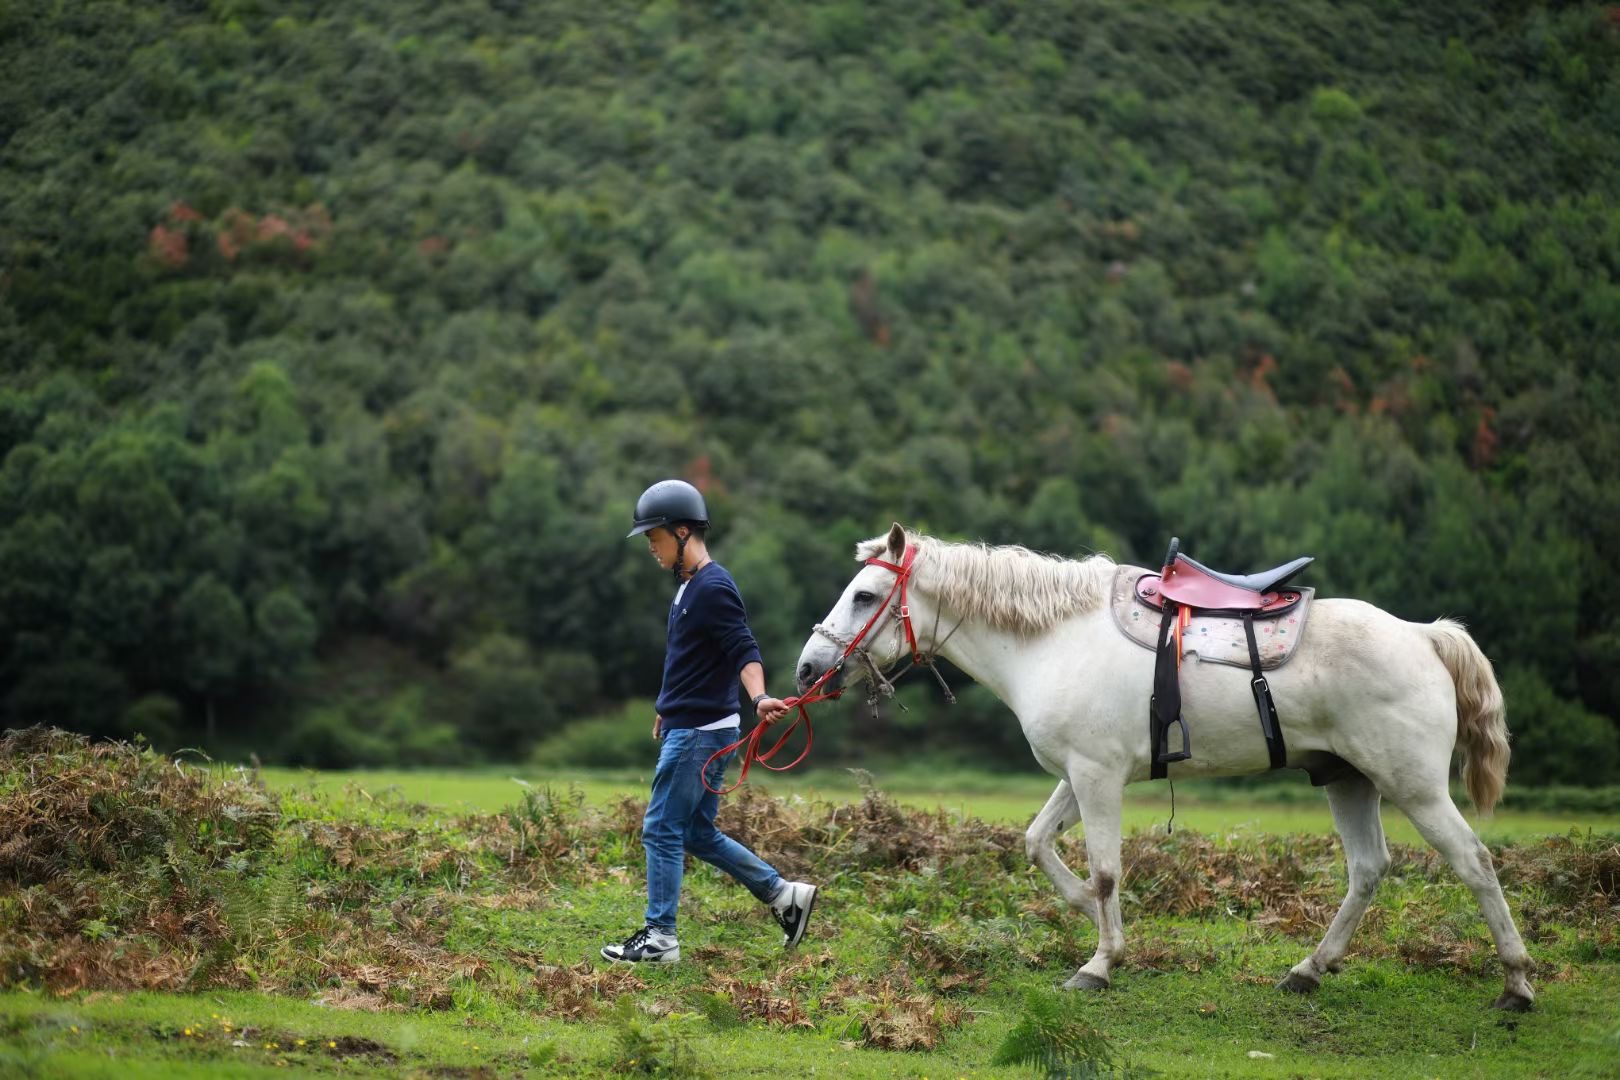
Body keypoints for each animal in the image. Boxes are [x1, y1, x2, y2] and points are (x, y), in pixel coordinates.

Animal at [793, 524, 1529, 1016]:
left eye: (864, 596)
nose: (806, 670)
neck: (1055, 640)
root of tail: (1423, 635)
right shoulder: (1079, 775)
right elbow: (1037, 844)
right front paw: (1090, 918)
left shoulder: (1096, 777)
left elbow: (1104, 869)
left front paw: (1099, 963)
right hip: (1348, 780)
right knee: (1368, 870)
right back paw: (1309, 970)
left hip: (1416, 789)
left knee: (1474, 863)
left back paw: (1517, 982)